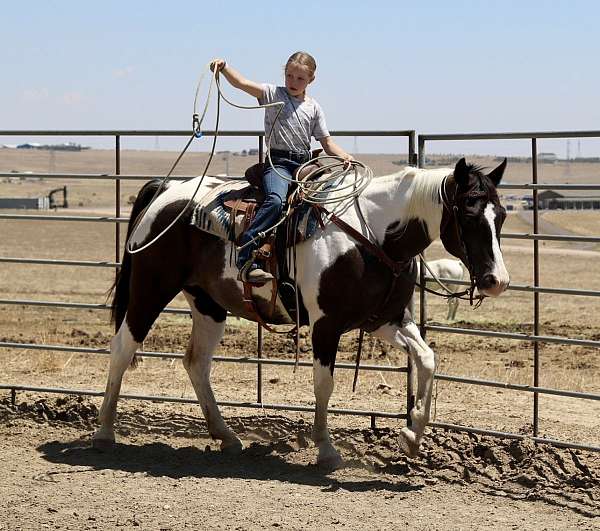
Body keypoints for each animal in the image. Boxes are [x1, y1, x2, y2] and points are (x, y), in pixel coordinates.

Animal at [95, 156, 510, 468]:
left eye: (502, 215)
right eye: (469, 214)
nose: (496, 281)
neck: (373, 236)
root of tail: (166, 190)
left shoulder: (385, 320)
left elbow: (426, 359)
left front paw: (411, 436)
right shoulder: (326, 326)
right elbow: (324, 384)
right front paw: (326, 450)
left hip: (208, 305)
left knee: (196, 362)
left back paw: (226, 437)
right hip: (150, 289)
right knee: (122, 349)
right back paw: (104, 432)